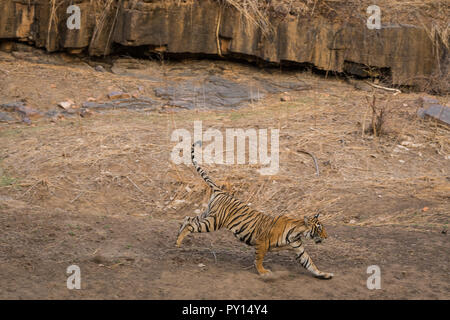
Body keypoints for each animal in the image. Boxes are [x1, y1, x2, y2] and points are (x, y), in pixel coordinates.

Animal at [176, 141, 334, 278]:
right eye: (319, 228)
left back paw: (177, 236)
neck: (298, 232)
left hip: (208, 214)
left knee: (188, 218)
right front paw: (263, 272)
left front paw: (325, 274)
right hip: (213, 222)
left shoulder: (299, 249)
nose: (326, 237)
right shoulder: (261, 242)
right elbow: (259, 259)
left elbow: (310, 263)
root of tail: (221, 191)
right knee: (191, 225)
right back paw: (178, 242)